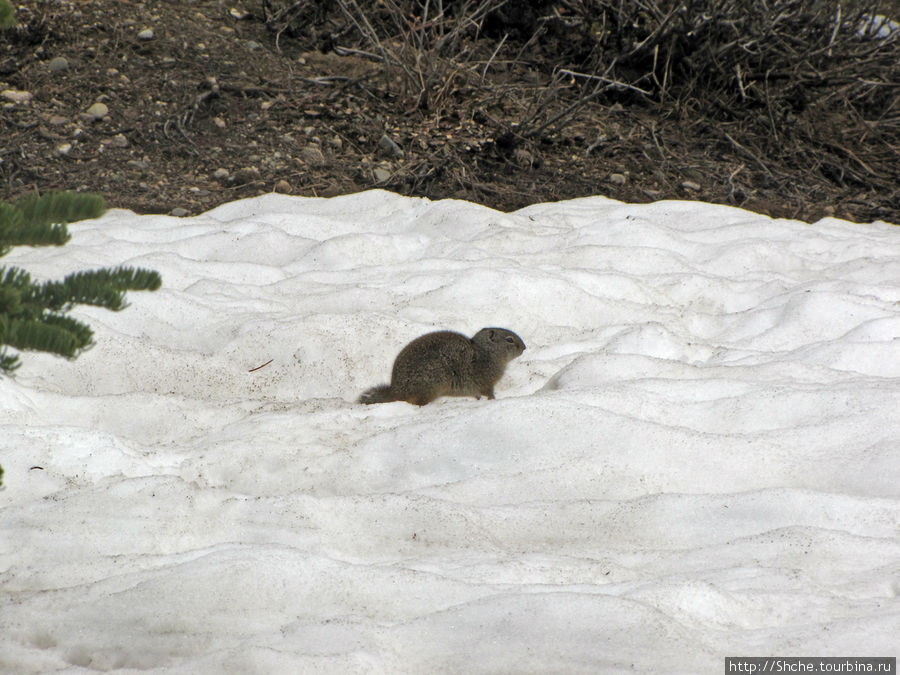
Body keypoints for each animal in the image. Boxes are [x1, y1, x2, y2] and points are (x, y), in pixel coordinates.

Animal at [358, 328, 528, 406]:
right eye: (509, 339)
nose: (524, 347)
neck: (486, 352)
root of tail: (396, 391)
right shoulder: (486, 382)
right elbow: (488, 392)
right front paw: (492, 400)